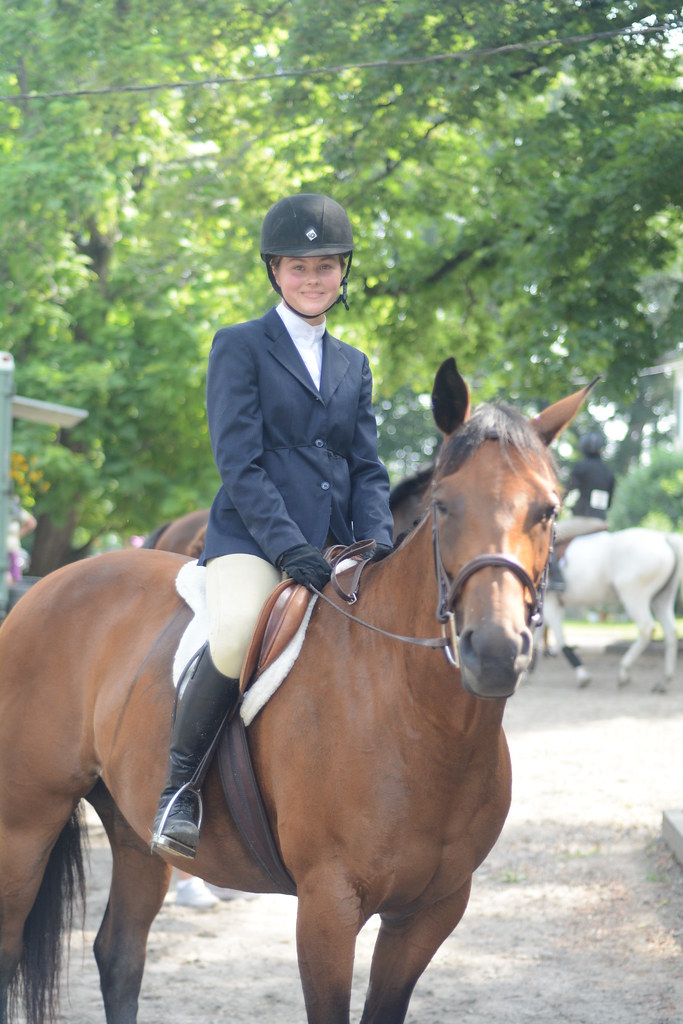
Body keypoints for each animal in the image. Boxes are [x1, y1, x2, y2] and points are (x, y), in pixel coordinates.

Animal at [0, 357, 592, 1024]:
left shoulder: (430, 912)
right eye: (443, 505)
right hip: (23, 823)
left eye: (547, 509)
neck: (422, 721)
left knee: (120, 953)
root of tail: (46, 588)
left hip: (132, 832)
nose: (492, 651)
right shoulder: (327, 906)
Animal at [541, 527, 683, 692]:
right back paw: (664, 681)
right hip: (661, 599)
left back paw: (624, 671)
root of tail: (664, 537)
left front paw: (582, 675)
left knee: (646, 628)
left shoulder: (551, 603)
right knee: (671, 632)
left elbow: (559, 639)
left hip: (633, 596)